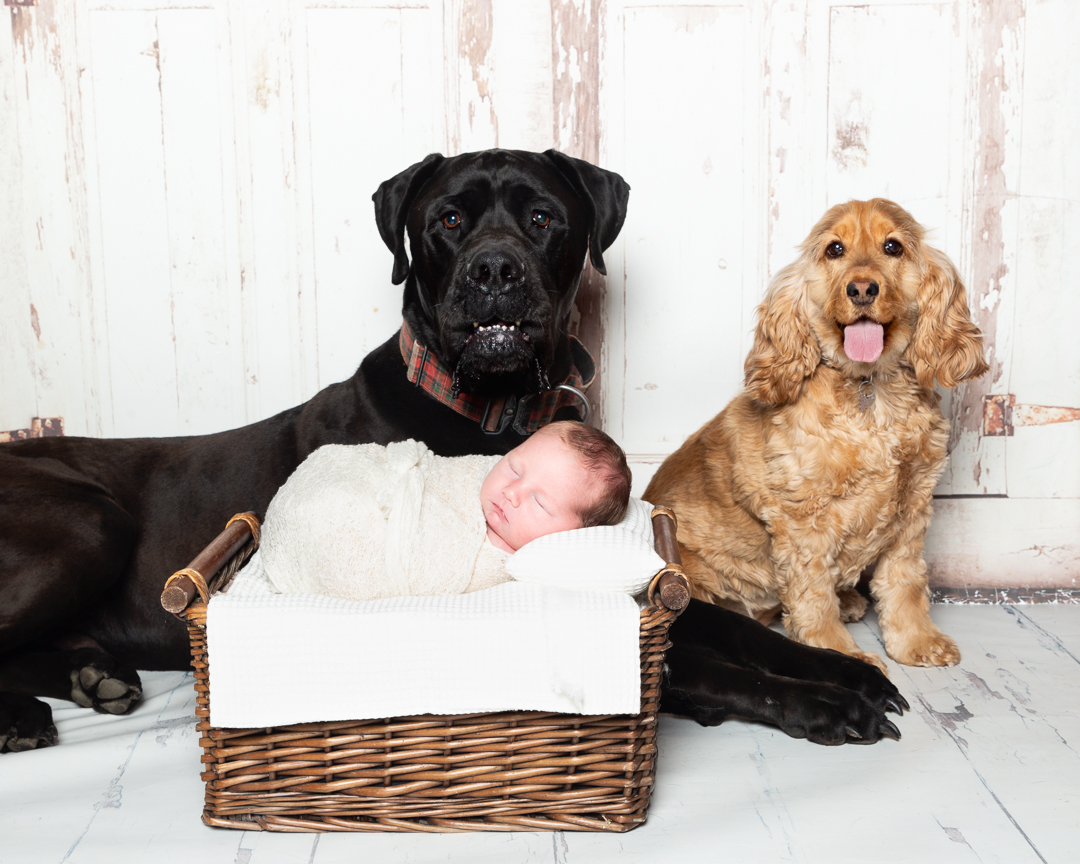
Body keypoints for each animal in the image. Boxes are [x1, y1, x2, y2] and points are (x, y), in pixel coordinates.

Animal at [2, 149, 902, 747]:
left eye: (541, 217)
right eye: (447, 220)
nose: (494, 270)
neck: (494, 412)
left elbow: (732, 628)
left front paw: (850, 669)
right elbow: (704, 663)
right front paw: (825, 706)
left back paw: (89, 676)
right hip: (88, 521)